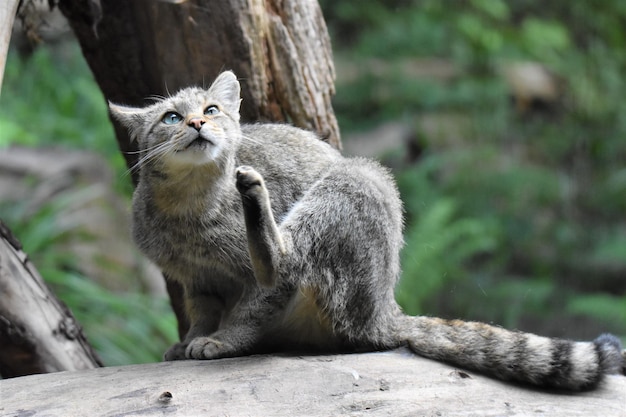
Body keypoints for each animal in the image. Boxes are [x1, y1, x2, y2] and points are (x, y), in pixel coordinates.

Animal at [109, 70, 620, 390]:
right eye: (171, 117)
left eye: (213, 109)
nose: (197, 122)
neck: (189, 210)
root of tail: (387, 310)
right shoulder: (196, 281)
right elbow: (200, 315)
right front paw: (189, 341)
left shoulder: (253, 288)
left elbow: (249, 311)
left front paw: (220, 341)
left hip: (353, 181)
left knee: (284, 260)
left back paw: (260, 209)